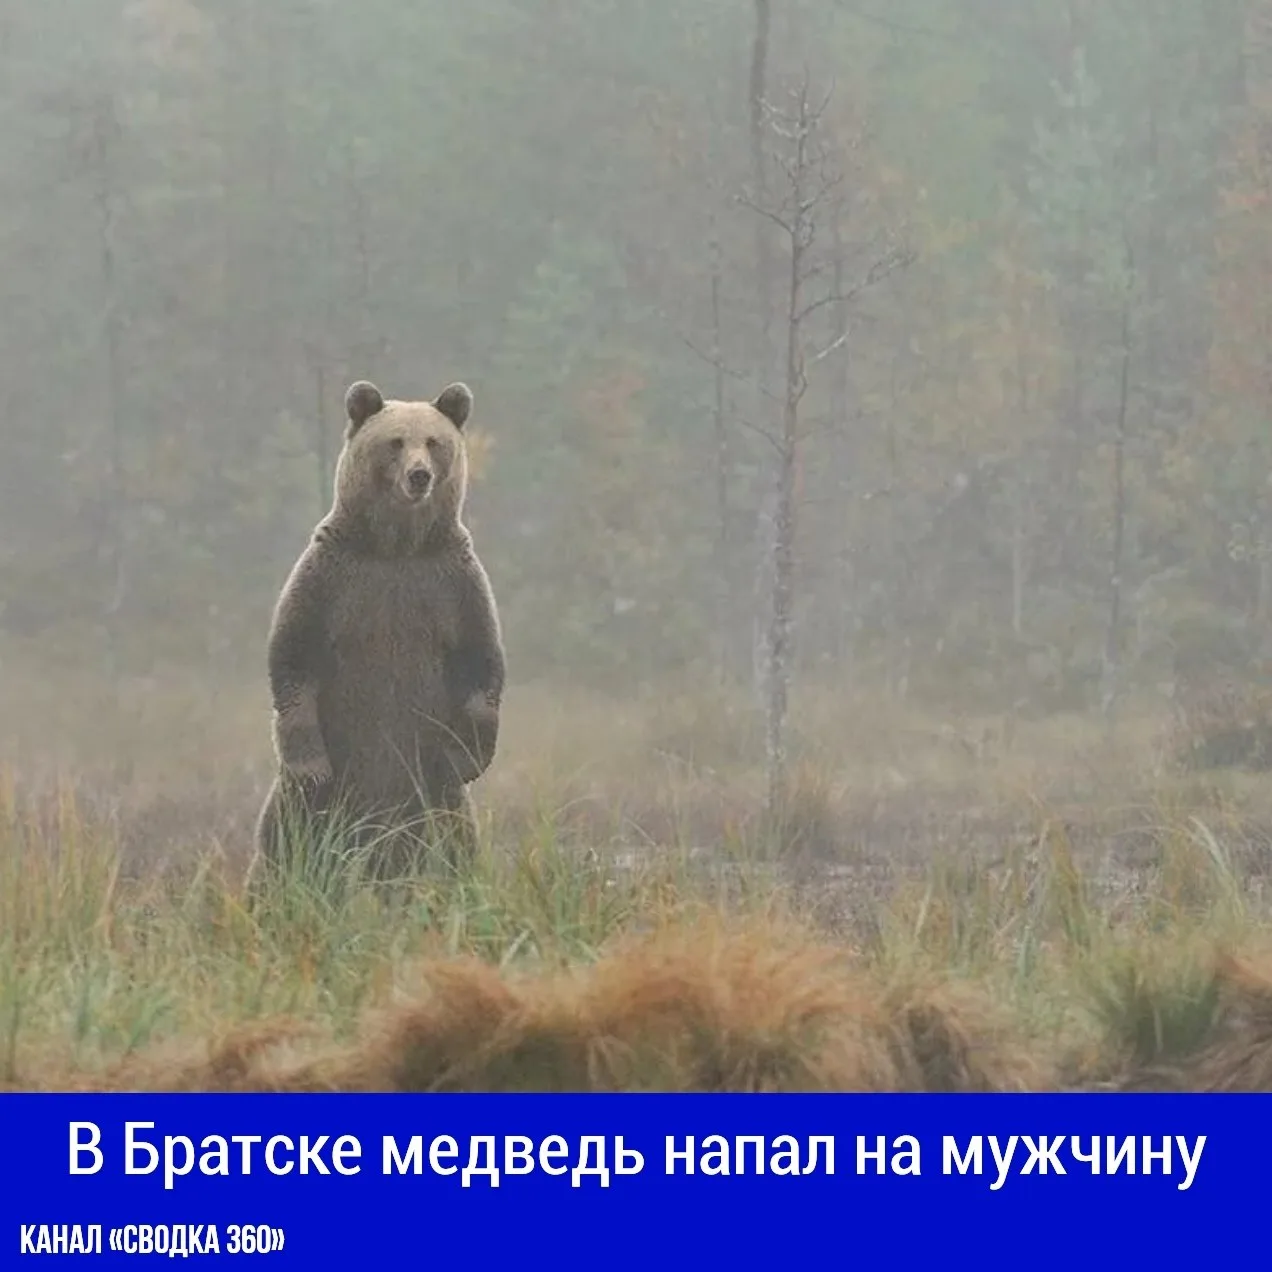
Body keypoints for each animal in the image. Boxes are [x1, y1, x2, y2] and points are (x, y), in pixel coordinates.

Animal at [252, 378, 505, 886]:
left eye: (434, 441)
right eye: (395, 442)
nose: (419, 476)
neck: (397, 546)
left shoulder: (452, 582)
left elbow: (481, 660)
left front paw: (467, 758)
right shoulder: (332, 579)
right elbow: (293, 655)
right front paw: (311, 764)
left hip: (435, 805)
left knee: (455, 851)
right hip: (309, 809)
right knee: (282, 849)